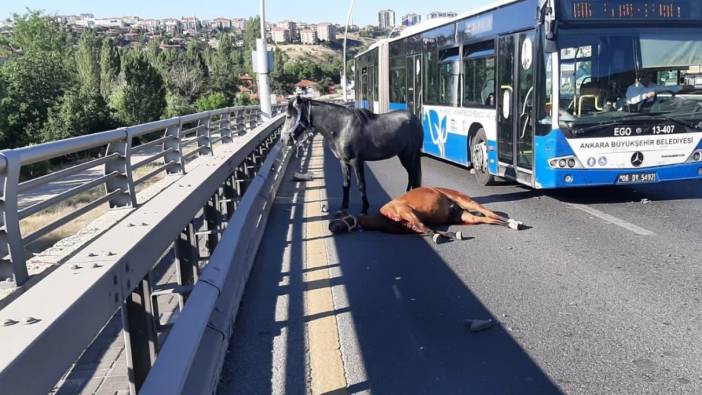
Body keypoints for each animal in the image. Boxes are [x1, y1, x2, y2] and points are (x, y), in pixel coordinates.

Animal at [284, 98, 424, 215]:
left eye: (289, 116)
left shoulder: (356, 161)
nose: (284, 140)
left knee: (414, 175)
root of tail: (415, 119)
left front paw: (364, 209)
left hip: (409, 156)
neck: (342, 127)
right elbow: (346, 184)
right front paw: (343, 208)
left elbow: (361, 184)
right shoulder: (344, 162)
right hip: (405, 156)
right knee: (412, 175)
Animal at [330, 187, 524, 243]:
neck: (384, 216)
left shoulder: (406, 211)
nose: (332, 227)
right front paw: (451, 234)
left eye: (340, 218)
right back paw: (510, 224)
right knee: (487, 219)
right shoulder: (408, 227)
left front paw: (441, 236)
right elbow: (426, 229)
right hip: (465, 216)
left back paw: (514, 222)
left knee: (490, 212)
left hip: (466, 201)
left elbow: (425, 227)